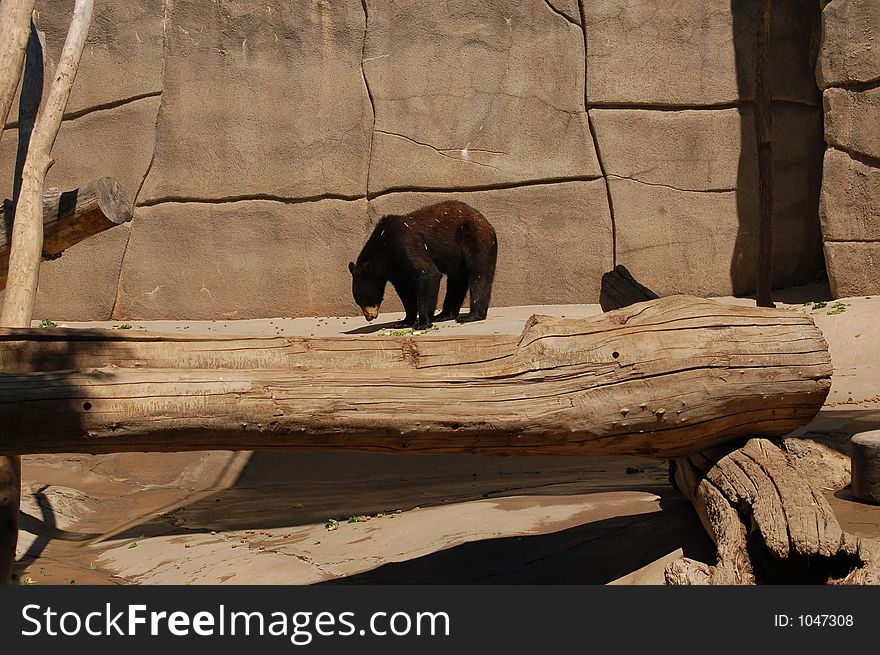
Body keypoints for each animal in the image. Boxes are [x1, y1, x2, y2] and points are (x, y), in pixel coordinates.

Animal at [352, 200, 502, 330]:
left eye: (365, 301)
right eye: (359, 302)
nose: (369, 317)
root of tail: (486, 222)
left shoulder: (406, 247)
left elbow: (428, 275)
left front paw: (422, 323)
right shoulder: (396, 271)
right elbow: (406, 293)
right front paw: (404, 322)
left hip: (475, 239)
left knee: (479, 275)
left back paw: (471, 316)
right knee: (456, 282)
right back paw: (443, 315)